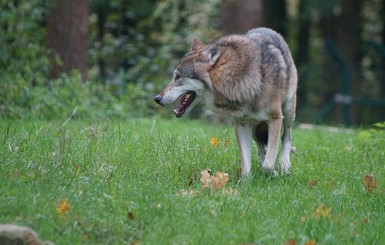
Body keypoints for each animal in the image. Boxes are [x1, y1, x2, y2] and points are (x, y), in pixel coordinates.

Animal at [154, 27, 296, 175]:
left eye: (177, 77)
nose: (157, 98)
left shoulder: (275, 118)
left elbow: (268, 164)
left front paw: (274, 173)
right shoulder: (241, 125)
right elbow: (246, 167)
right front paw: (249, 180)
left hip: (287, 112)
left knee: (287, 135)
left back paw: (284, 164)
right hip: (255, 127)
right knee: (261, 148)